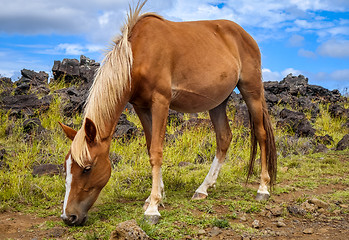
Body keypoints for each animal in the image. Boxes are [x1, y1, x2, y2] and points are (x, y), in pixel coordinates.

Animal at [60, 0, 278, 225]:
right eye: (66, 168)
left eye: (87, 168)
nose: (68, 216)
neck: (138, 54)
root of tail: (246, 36)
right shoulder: (141, 106)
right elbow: (150, 147)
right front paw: (154, 198)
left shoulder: (161, 102)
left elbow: (156, 151)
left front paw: (153, 208)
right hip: (218, 102)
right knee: (224, 138)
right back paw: (203, 188)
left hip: (251, 90)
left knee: (261, 135)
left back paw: (263, 188)